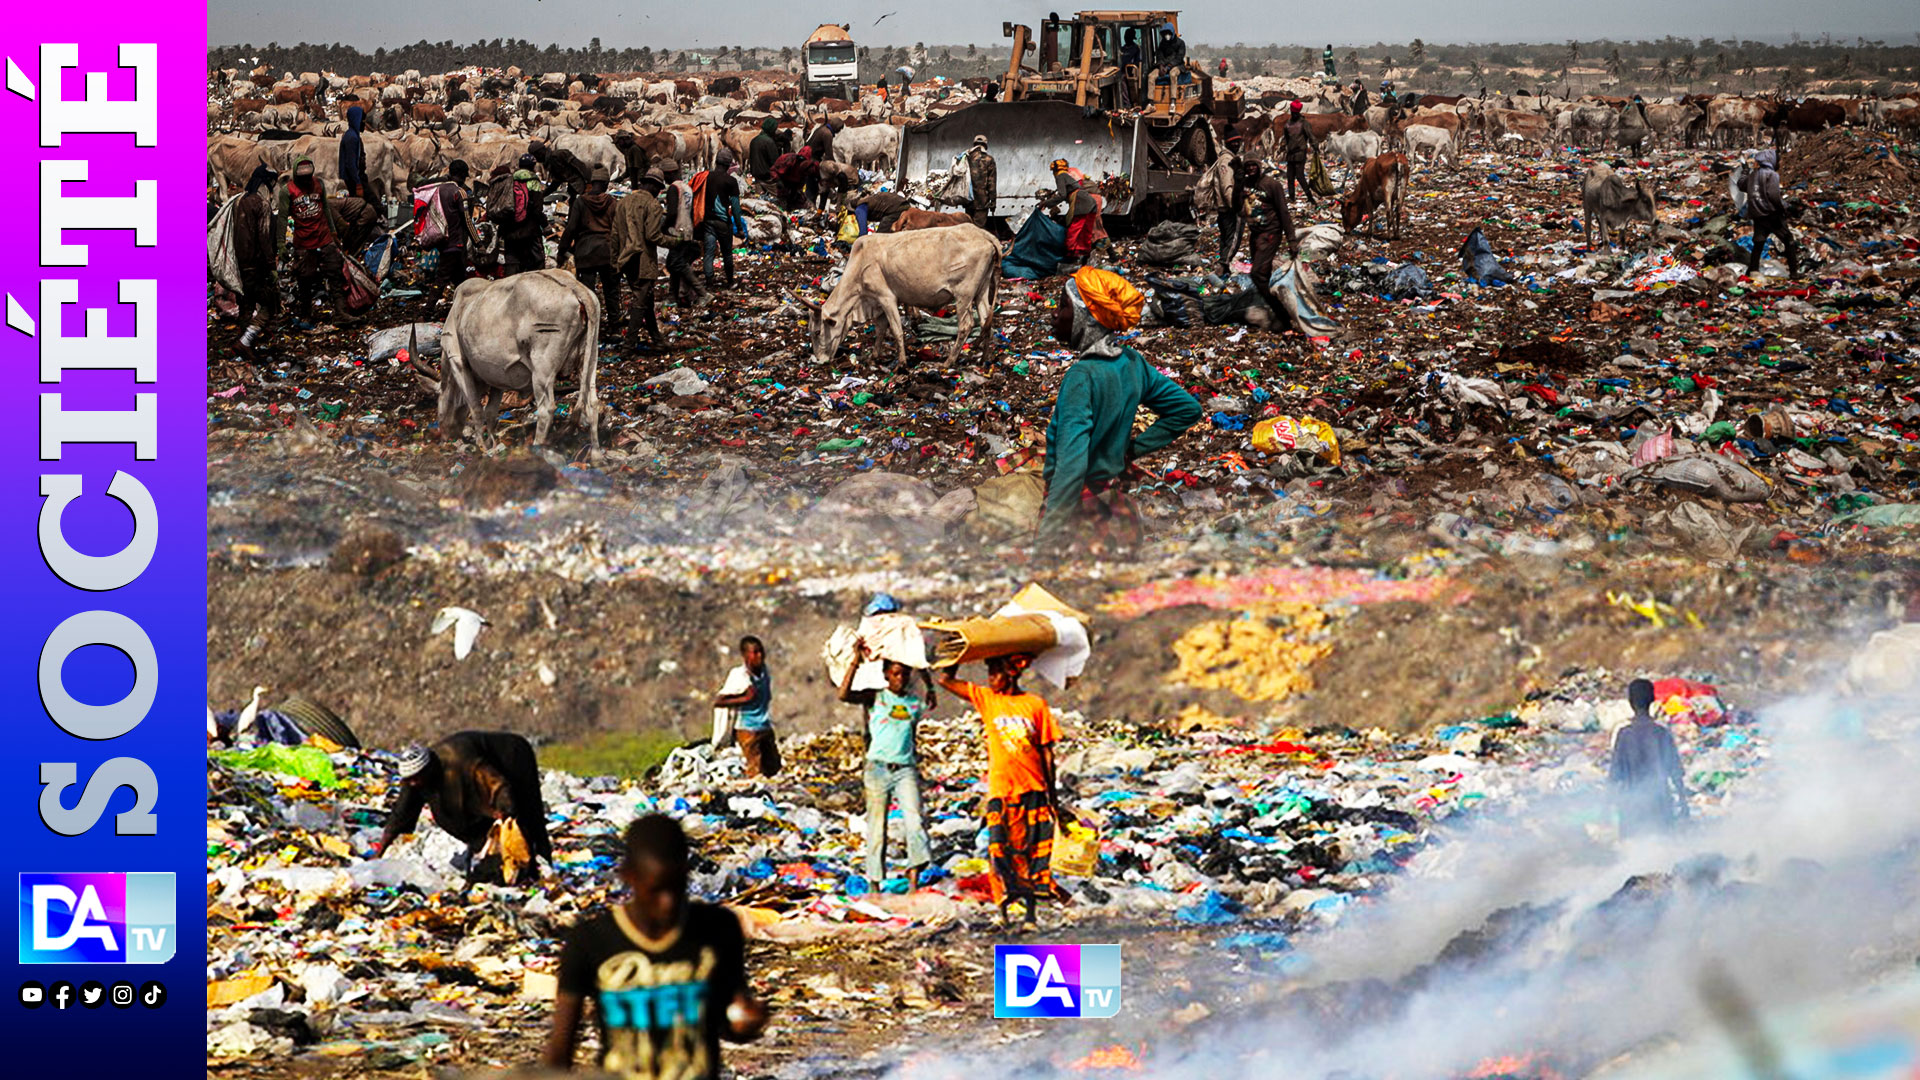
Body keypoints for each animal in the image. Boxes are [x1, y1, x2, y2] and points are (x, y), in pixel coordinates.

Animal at [408, 272, 602, 453]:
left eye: (438, 403)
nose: (447, 437)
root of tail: (576, 287)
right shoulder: (498, 377)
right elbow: (491, 412)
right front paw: (492, 444)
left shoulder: (457, 362)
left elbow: (476, 408)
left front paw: (482, 446)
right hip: (590, 357)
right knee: (592, 403)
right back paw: (596, 455)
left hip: (542, 369)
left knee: (546, 410)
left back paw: (536, 449)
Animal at [802, 224, 998, 367]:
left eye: (817, 332)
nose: (819, 360)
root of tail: (982, 234)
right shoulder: (877, 303)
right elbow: (880, 329)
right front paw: (874, 356)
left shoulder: (886, 298)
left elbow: (896, 330)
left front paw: (901, 363)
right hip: (981, 290)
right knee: (986, 321)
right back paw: (983, 360)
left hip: (964, 294)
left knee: (966, 325)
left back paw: (948, 362)